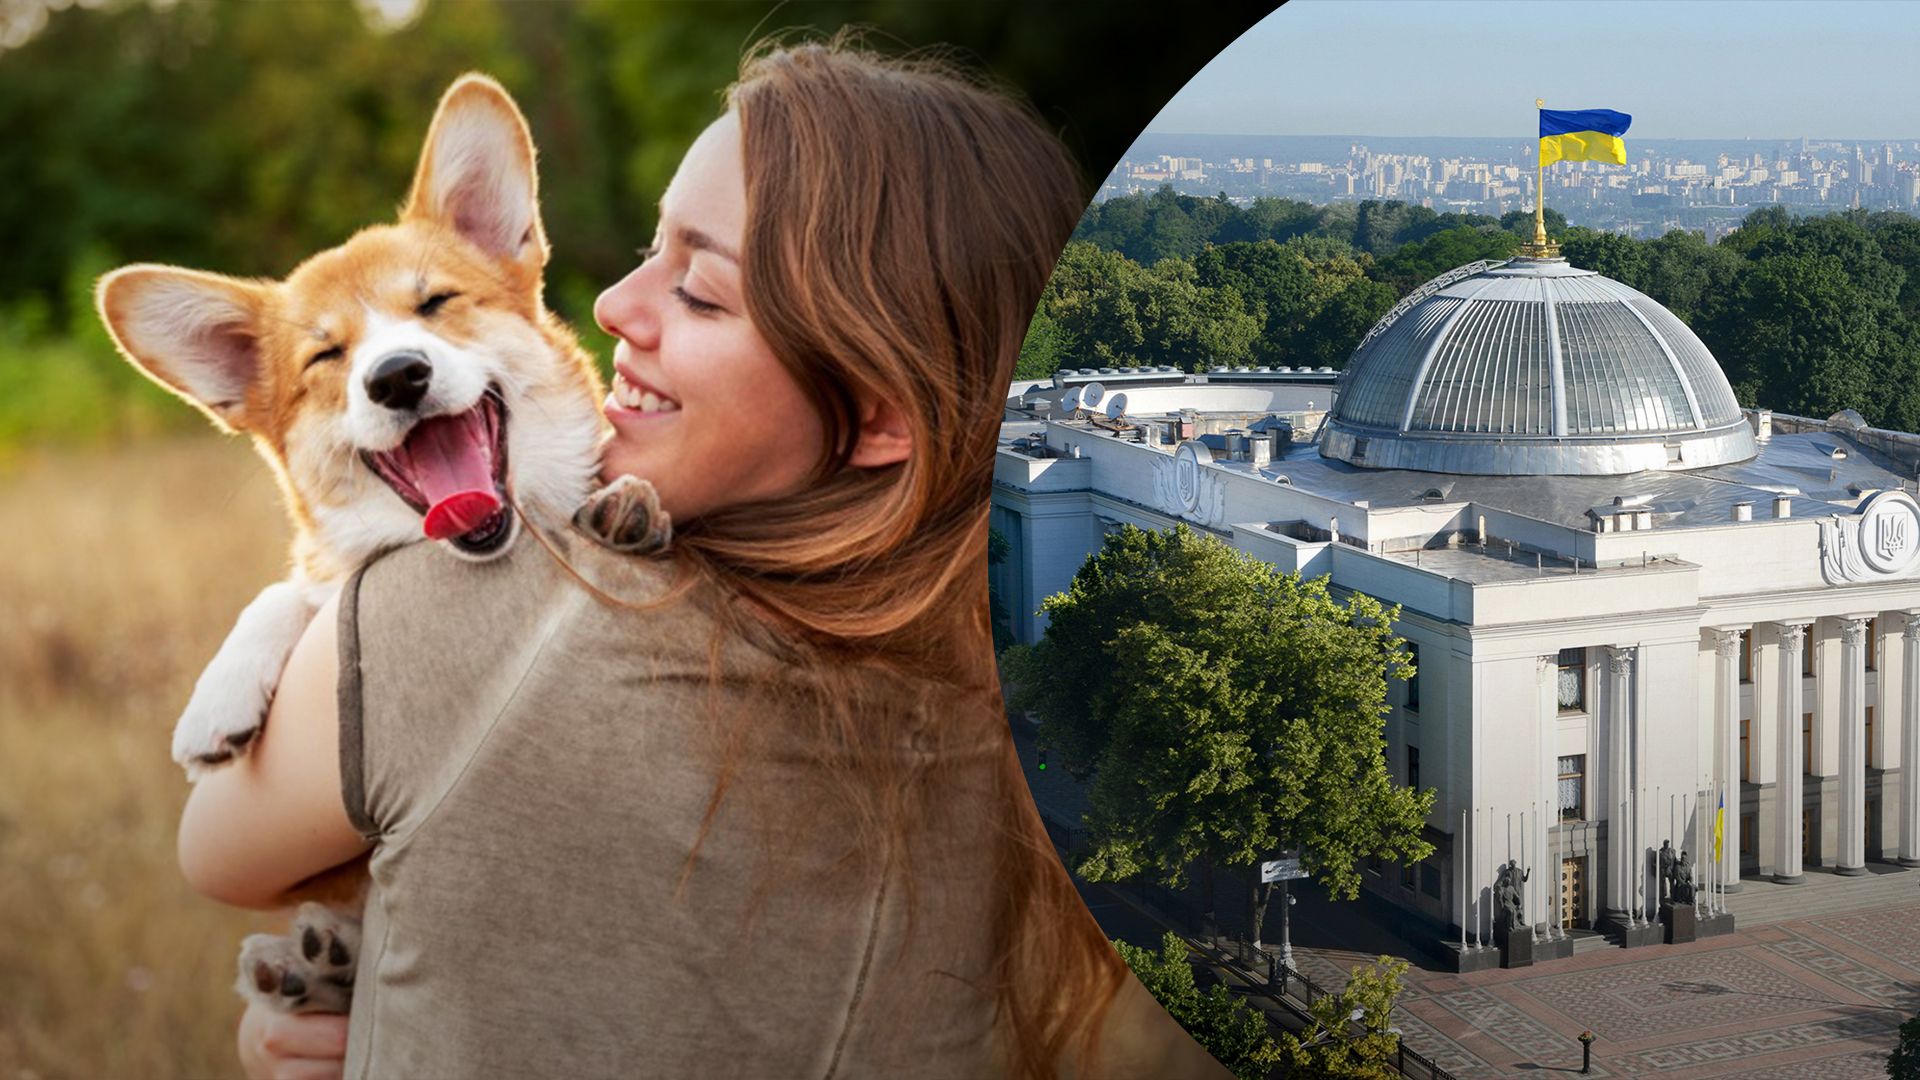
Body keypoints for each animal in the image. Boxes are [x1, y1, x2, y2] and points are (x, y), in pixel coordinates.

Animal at [95, 75, 606, 1006]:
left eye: (436, 303)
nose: (397, 376)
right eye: (326, 357)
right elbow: (288, 590)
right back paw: (307, 961)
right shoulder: (326, 573)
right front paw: (217, 701)